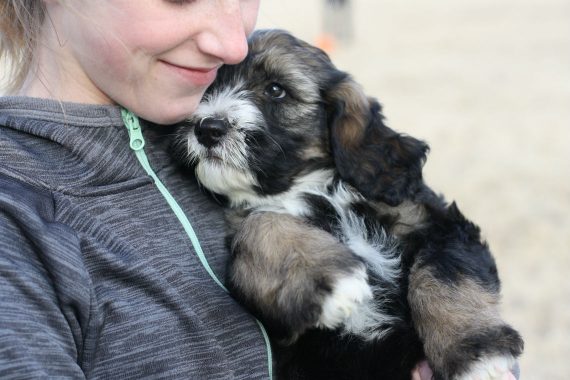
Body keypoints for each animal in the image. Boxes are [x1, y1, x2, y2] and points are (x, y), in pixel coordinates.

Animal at [171, 28, 520, 378]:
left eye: (275, 90)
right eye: (208, 87)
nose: (208, 128)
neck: (307, 188)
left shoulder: (438, 223)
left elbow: (445, 276)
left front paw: (476, 354)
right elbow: (263, 222)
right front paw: (333, 282)